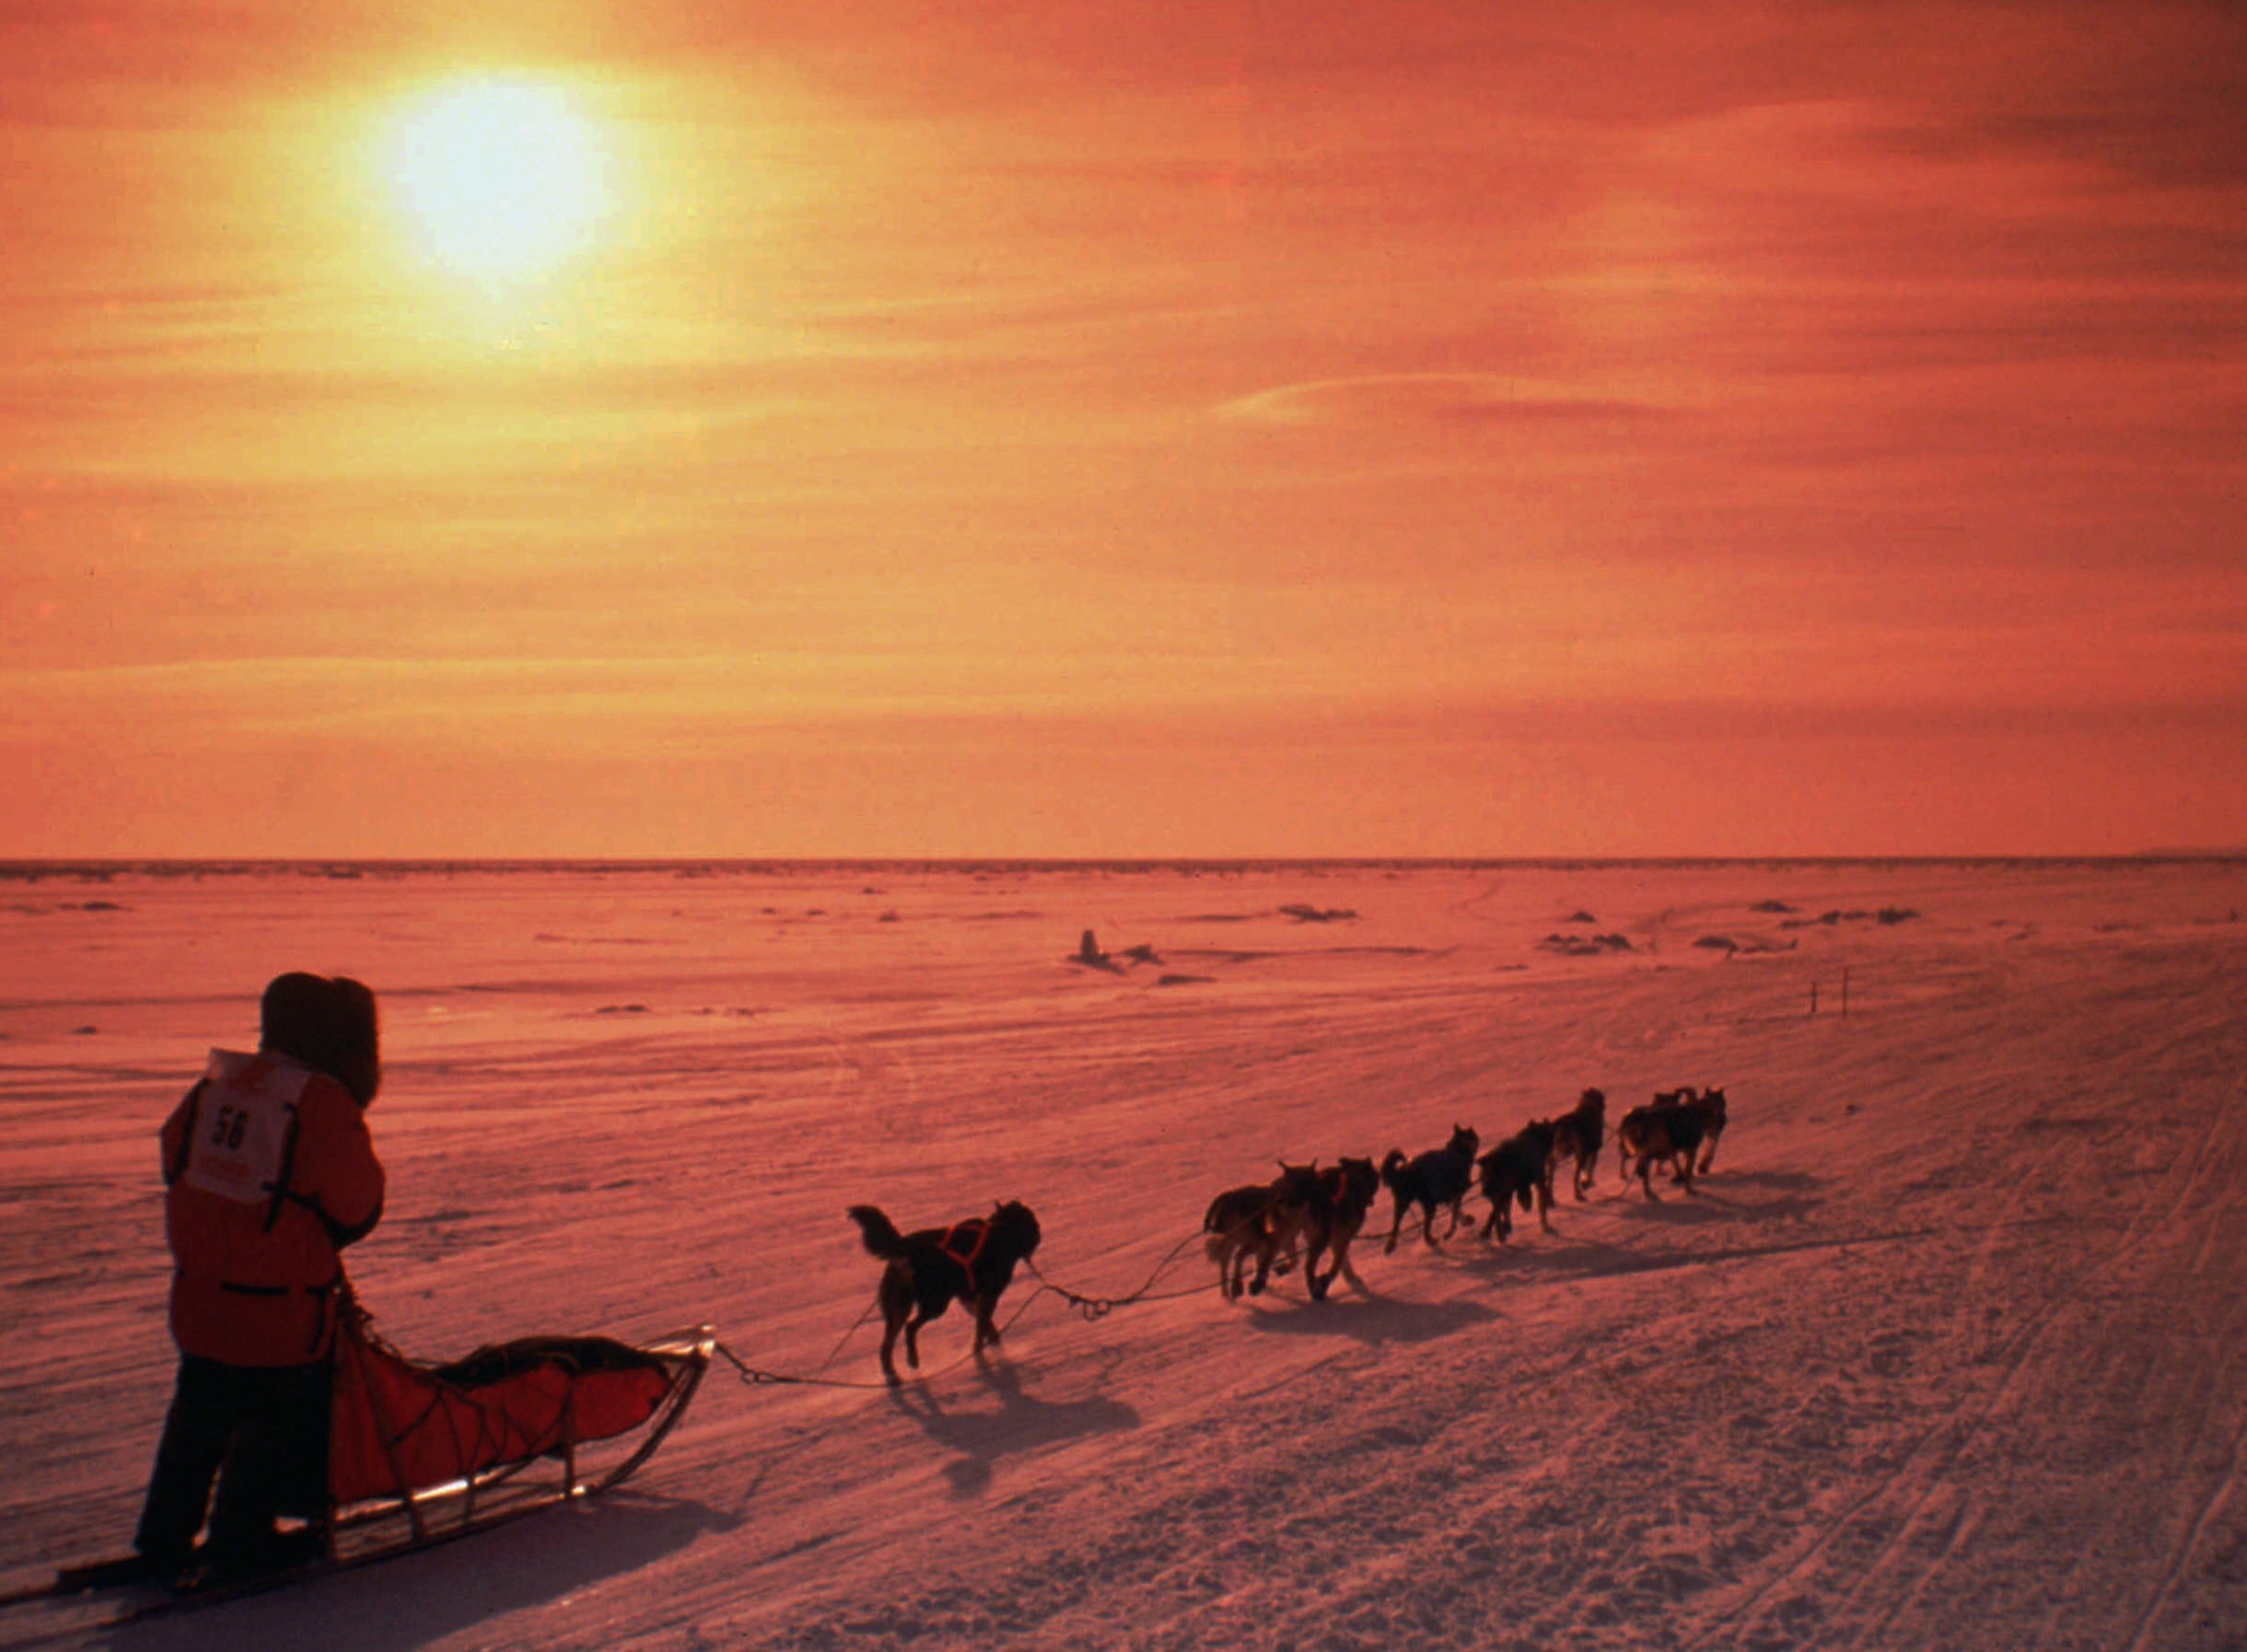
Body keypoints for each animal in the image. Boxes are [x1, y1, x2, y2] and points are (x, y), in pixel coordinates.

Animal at [849, 1204, 1042, 1384]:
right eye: (1033, 1224)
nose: (1039, 1235)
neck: (1000, 1231)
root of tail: (908, 1247)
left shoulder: (969, 1299)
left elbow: (986, 1325)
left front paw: (993, 1345)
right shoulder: (988, 1296)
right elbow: (982, 1327)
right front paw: (982, 1352)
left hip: (899, 1308)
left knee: (886, 1346)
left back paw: (892, 1376)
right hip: (935, 1303)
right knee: (910, 1328)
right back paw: (912, 1359)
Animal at [1204, 1159, 1321, 1303]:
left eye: (1311, 1183)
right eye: (1295, 1186)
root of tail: (1228, 1197)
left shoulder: (1285, 1240)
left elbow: (1294, 1260)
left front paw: (1281, 1270)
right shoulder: (1273, 1241)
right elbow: (1268, 1262)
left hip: (1240, 1243)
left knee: (1227, 1263)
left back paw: (1228, 1293)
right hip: (1252, 1242)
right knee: (1237, 1256)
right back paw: (1237, 1287)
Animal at [1375, 1123, 1483, 1250]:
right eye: (1472, 1135)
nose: (1478, 1139)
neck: (1458, 1150)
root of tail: (1402, 1171)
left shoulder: (1447, 1197)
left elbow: (1456, 1211)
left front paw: (1465, 1221)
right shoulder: (1456, 1193)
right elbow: (1455, 1213)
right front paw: (1452, 1231)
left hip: (1405, 1203)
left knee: (1396, 1224)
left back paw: (1391, 1244)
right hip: (1428, 1204)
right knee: (1425, 1229)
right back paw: (1431, 1240)